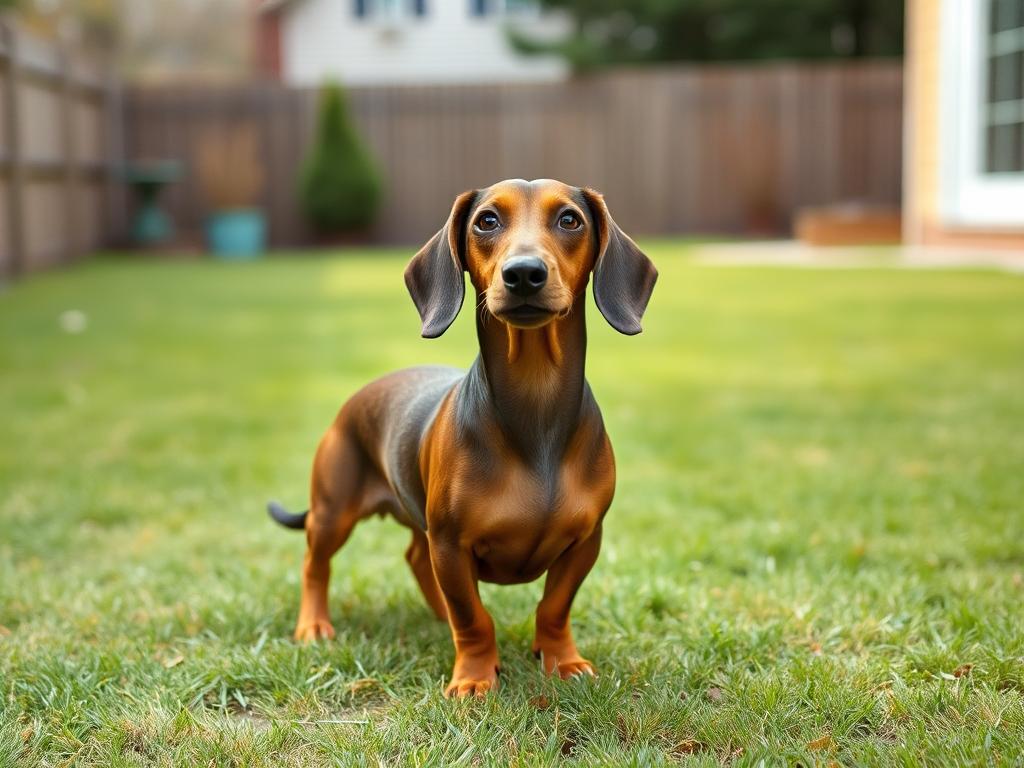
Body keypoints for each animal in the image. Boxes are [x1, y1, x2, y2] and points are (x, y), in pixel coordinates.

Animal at [270, 179, 655, 696]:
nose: (524, 274)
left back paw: (438, 615)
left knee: (416, 558)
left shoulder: (584, 540)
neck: (536, 411)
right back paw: (313, 625)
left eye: (570, 219)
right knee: (316, 564)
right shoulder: (451, 544)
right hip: (334, 511)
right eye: (486, 221)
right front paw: (474, 677)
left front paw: (563, 661)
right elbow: (474, 618)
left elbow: (554, 607)